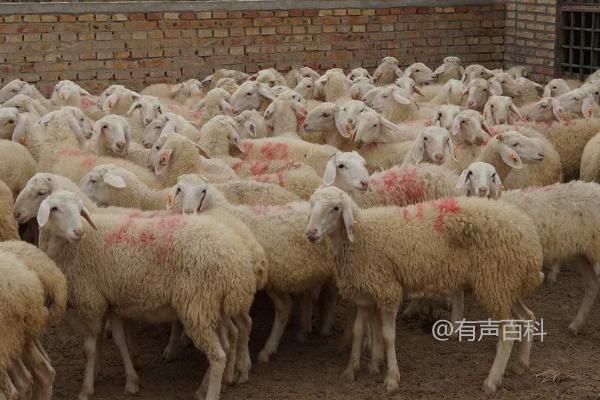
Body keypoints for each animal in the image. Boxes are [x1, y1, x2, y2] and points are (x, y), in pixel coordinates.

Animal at [35, 191, 255, 400]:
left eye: (80, 209)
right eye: (55, 208)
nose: (78, 231)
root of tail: (237, 262)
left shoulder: (91, 300)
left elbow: (88, 349)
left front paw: (87, 389)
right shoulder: (109, 301)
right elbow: (119, 342)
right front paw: (130, 381)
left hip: (197, 307)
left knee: (218, 356)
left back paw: (210, 393)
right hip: (211, 307)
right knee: (225, 346)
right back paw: (204, 388)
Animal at [308, 186, 548, 392]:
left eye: (335, 208)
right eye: (312, 205)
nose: (311, 233)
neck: (362, 237)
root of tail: (529, 233)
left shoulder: (388, 290)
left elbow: (387, 336)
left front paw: (391, 377)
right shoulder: (367, 294)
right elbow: (360, 331)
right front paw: (357, 369)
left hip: (494, 281)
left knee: (509, 331)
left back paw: (492, 380)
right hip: (505, 284)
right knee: (527, 316)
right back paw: (521, 364)